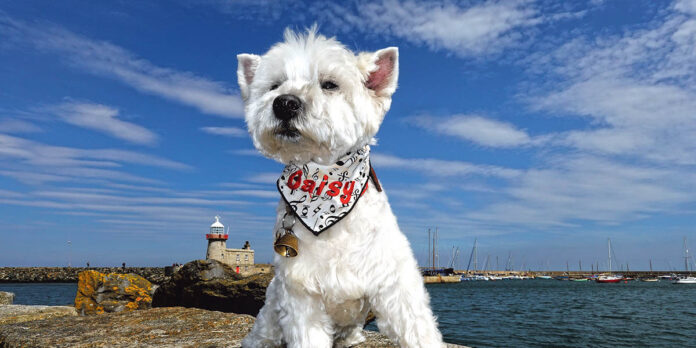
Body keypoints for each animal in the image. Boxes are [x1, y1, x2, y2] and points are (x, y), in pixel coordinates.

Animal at [239, 29, 444, 348]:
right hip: (273, 304)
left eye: (330, 84)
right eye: (274, 85)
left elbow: (418, 328)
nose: (284, 103)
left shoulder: (394, 281)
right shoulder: (302, 294)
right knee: (265, 329)